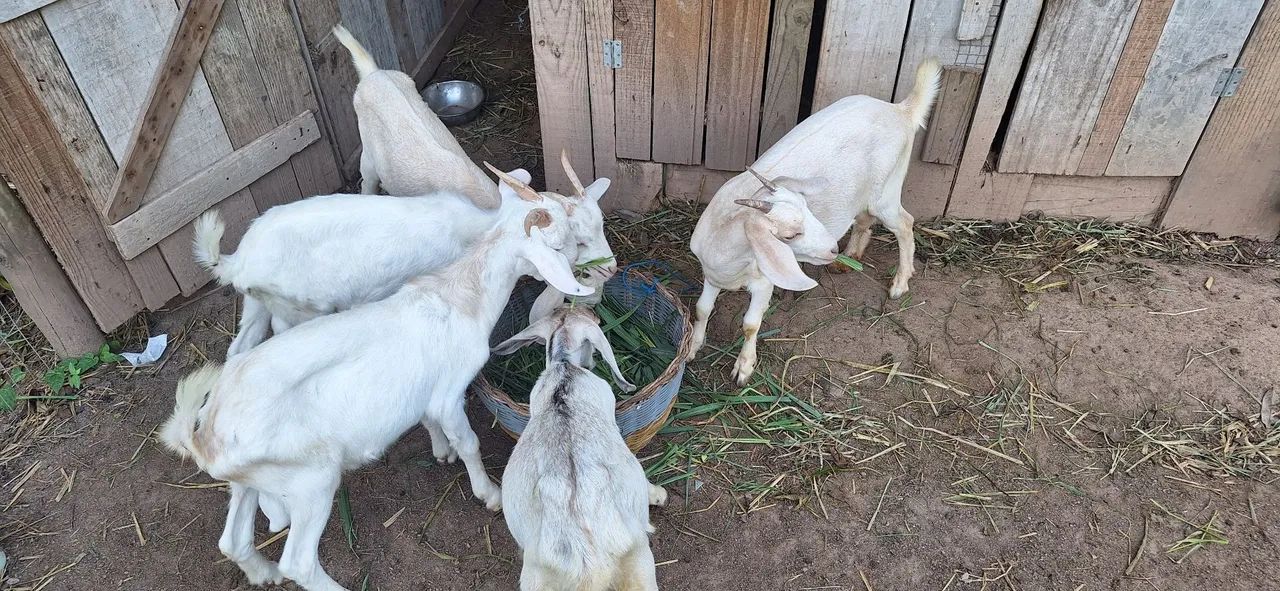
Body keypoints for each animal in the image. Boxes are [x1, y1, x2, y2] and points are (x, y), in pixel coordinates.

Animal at [160, 179, 594, 591]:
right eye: (558, 244)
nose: (583, 267)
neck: (459, 298)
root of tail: (204, 438)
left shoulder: (423, 397)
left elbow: (430, 424)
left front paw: (441, 452)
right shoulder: (449, 394)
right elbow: (469, 443)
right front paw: (489, 494)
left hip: (249, 479)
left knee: (232, 541)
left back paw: (263, 573)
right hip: (311, 482)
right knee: (299, 562)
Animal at [689, 59, 941, 385]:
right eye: (790, 234)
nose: (831, 248)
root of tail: (901, 110)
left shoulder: (763, 281)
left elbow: (750, 324)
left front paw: (744, 368)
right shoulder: (711, 274)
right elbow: (701, 309)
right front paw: (692, 348)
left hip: (887, 190)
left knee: (906, 223)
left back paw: (899, 282)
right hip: (864, 192)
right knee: (864, 218)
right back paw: (851, 256)